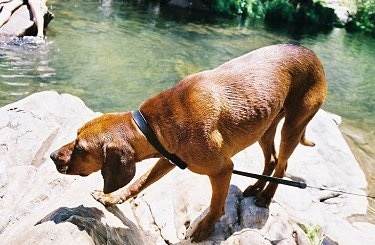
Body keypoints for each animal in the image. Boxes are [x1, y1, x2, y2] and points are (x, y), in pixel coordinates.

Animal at [51, 43, 328, 241]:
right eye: (75, 135)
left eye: (81, 148)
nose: (53, 156)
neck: (152, 125)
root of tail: (312, 53)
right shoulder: (168, 159)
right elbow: (139, 183)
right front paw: (111, 198)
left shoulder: (222, 169)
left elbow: (216, 206)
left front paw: (204, 229)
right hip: (265, 125)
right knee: (271, 159)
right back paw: (255, 188)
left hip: (293, 126)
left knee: (282, 164)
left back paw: (266, 197)